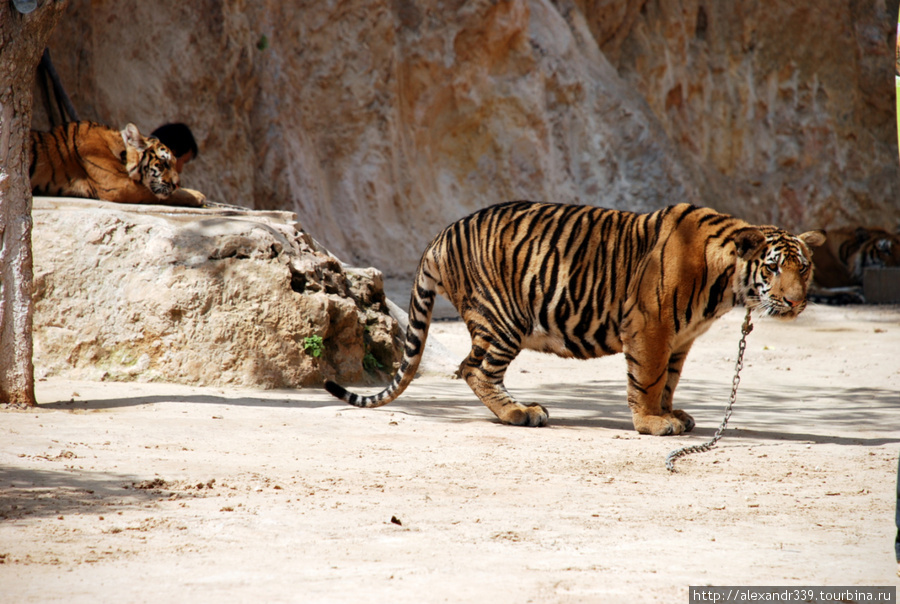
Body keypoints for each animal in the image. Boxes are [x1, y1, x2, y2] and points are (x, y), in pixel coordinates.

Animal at [326, 202, 828, 434]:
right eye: (772, 268)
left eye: (803, 268)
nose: (796, 302)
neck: (728, 285)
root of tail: (442, 233)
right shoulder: (650, 326)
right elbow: (647, 379)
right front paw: (652, 423)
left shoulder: (680, 339)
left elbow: (668, 380)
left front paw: (671, 413)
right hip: (505, 318)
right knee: (476, 370)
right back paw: (520, 413)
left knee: (469, 367)